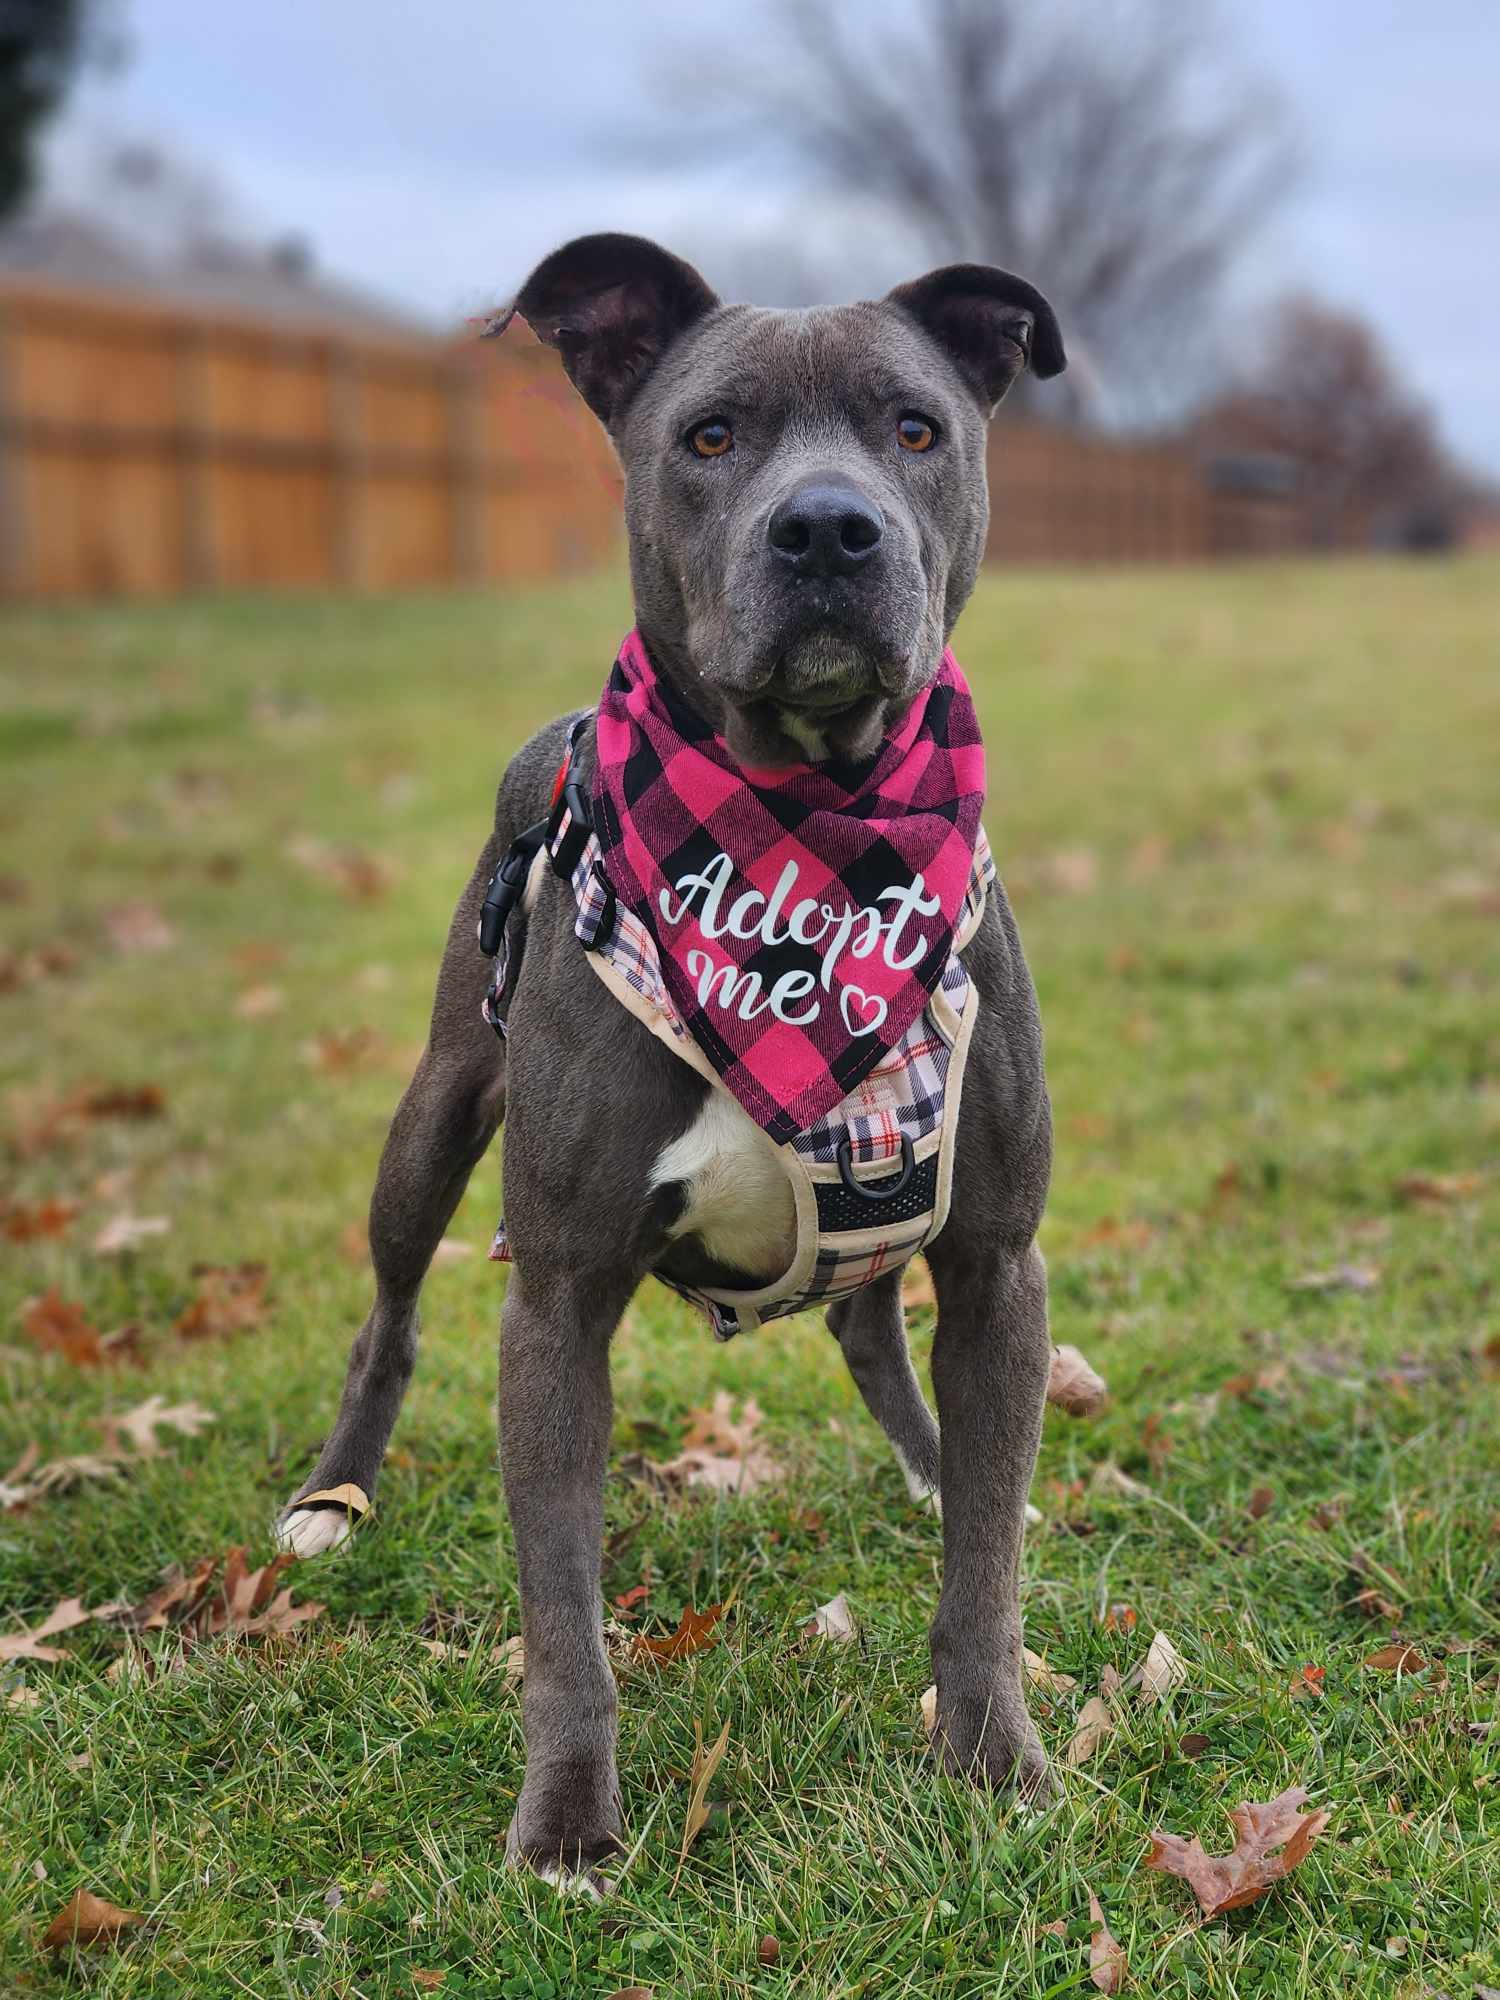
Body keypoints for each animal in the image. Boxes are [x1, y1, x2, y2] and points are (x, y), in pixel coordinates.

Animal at [280, 234, 1072, 1888]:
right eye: (709, 437)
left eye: (918, 428)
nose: (828, 526)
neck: (806, 848)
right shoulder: (559, 1296)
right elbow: (563, 1622)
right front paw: (568, 1822)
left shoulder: (997, 1260)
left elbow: (984, 1564)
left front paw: (991, 1755)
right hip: (428, 1125)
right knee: (389, 1310)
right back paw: (331, 1493)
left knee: (872, 1332)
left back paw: (929, 1460)